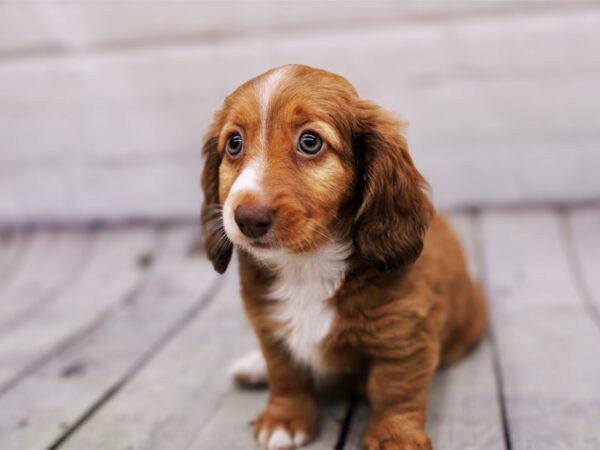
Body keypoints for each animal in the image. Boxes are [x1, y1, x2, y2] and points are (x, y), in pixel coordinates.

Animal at [202, 64, 488, 450]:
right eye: (234, 143)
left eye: (310, 142)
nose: (246, 219)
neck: (308, 264)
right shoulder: (269, 326)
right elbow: (285, 373)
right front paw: (284, 419)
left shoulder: (404, 338)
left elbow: (395, 392)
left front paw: (394, 438)